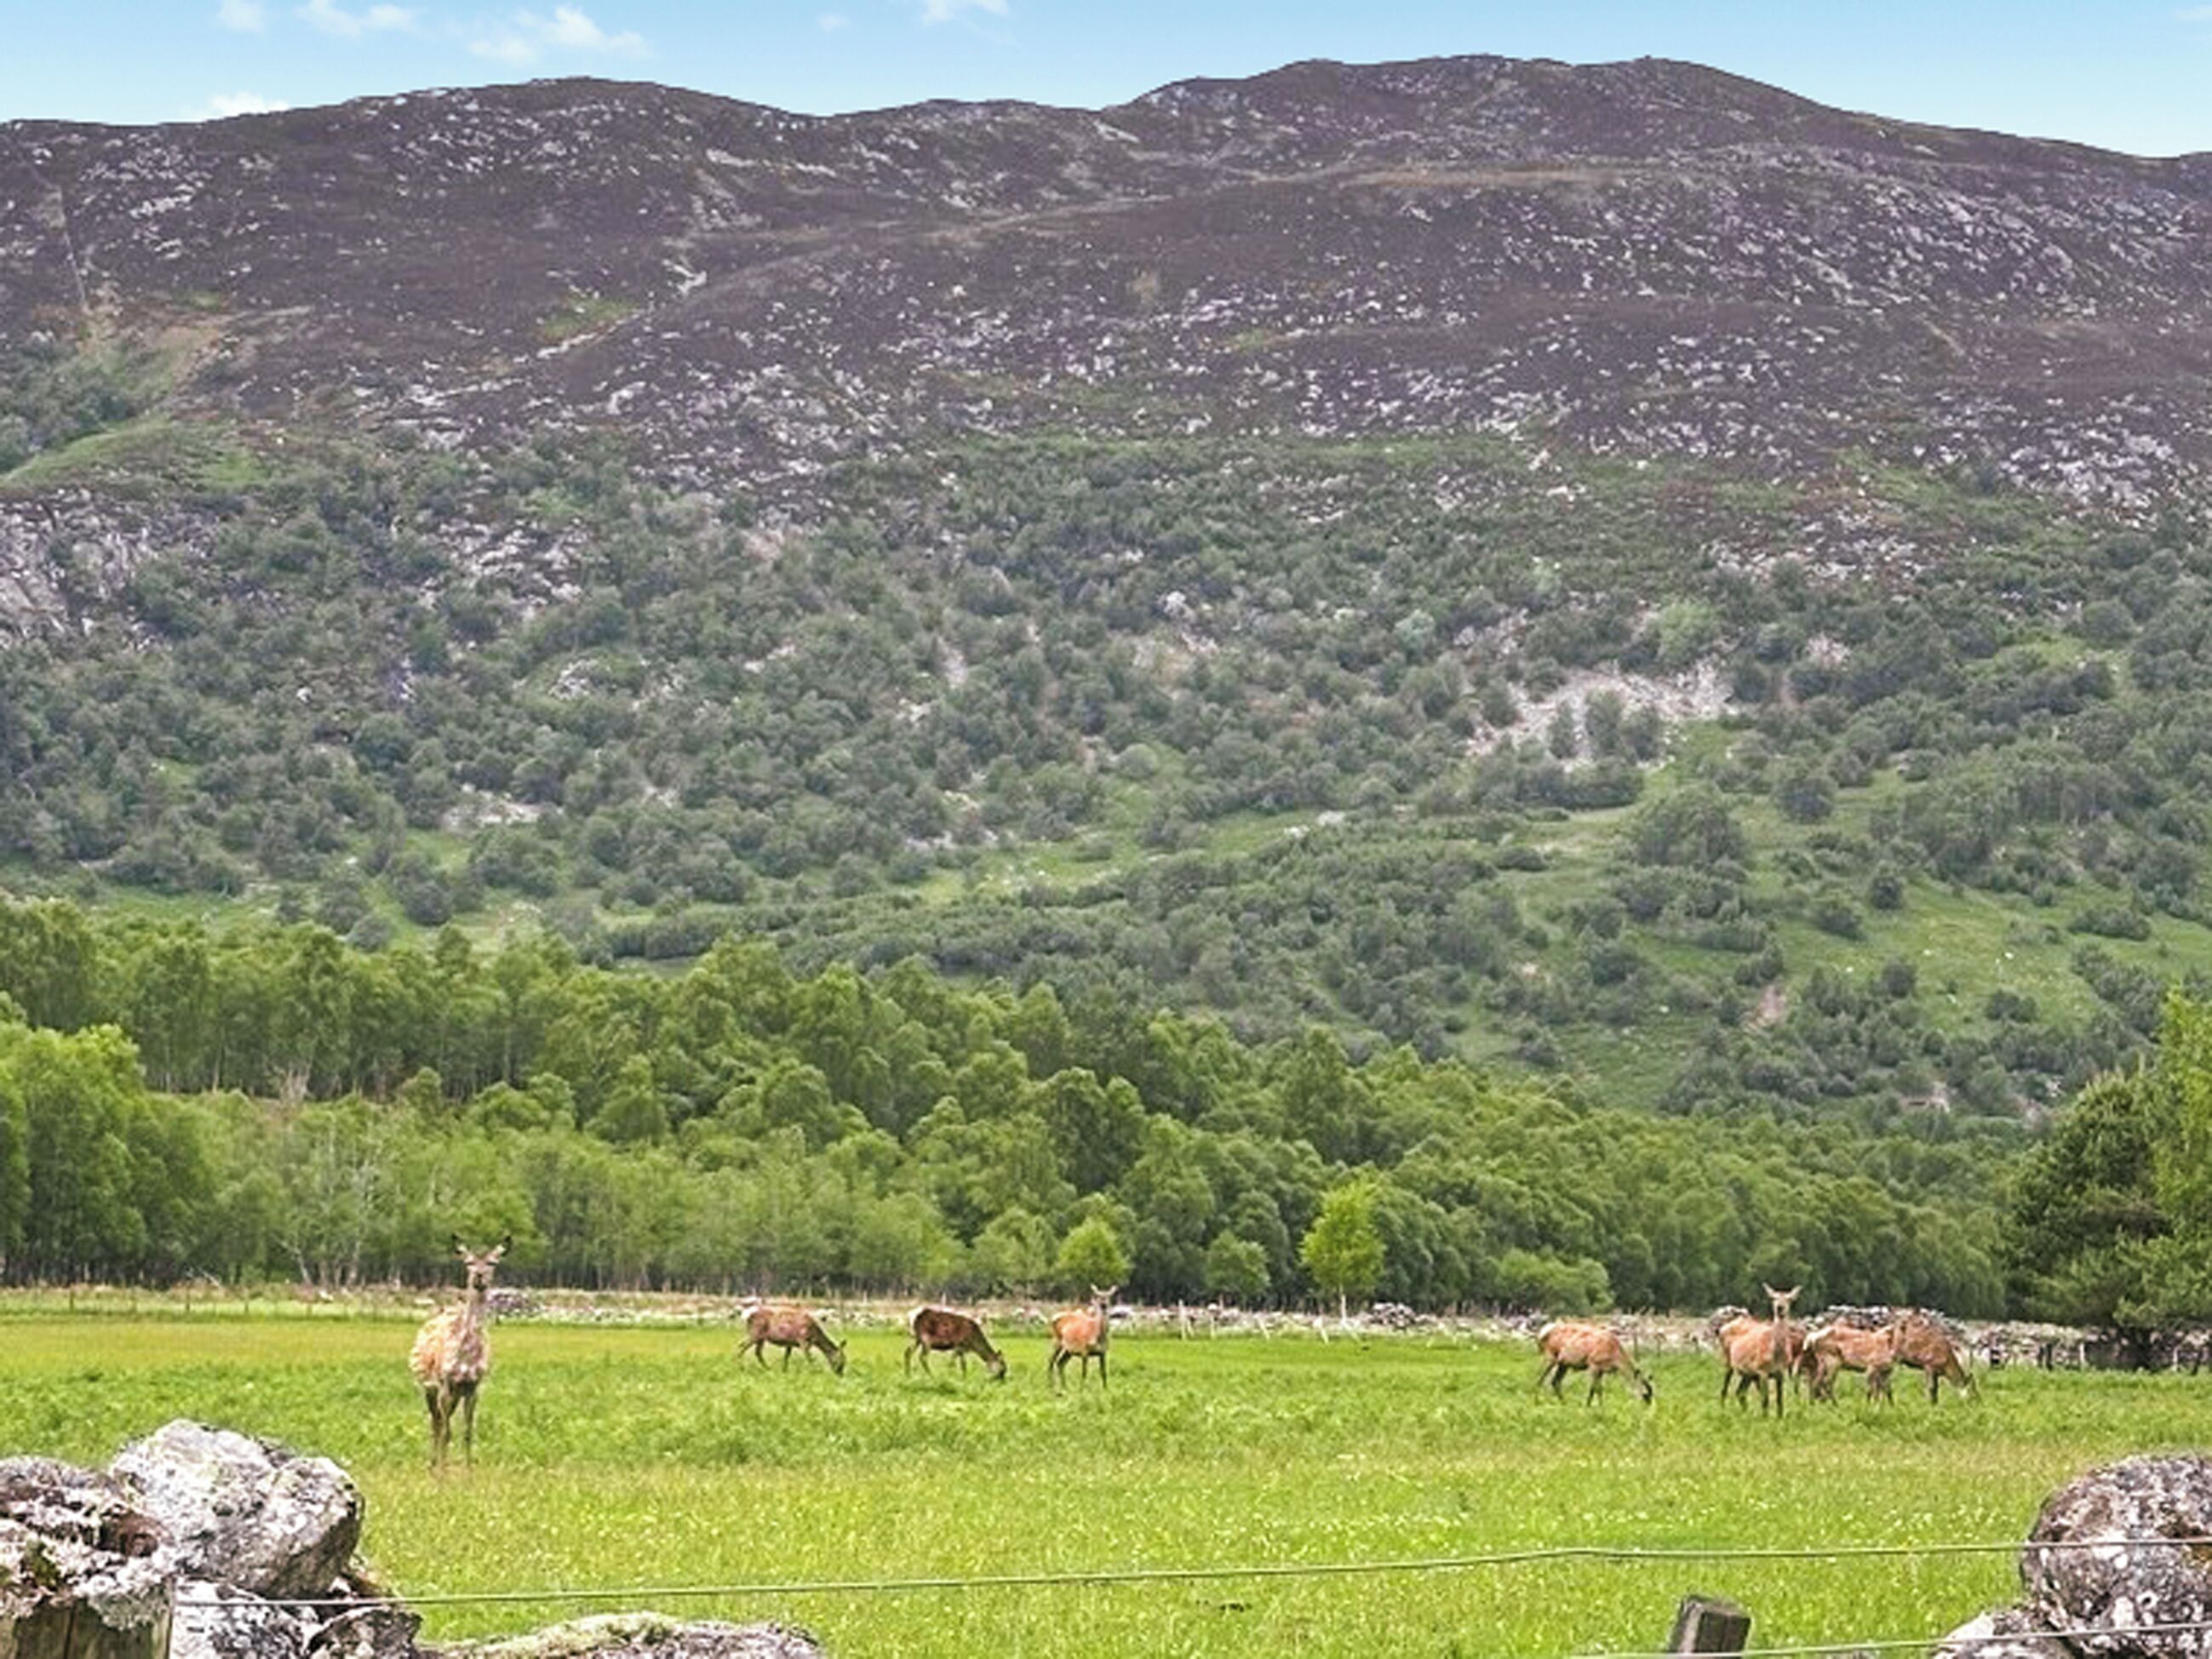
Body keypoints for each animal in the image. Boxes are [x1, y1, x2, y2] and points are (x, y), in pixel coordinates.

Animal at [408, 1235, 509, 1468]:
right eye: (468, 1262)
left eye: (493, 1262)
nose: (479, 1277)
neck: (466, 1357)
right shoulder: (445, 1381)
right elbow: (446, 1431)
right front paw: (443, 1470)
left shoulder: (473, 1386)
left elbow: (468, 1431)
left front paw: (468, 1468)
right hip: (428, 1386)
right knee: (436, 1422)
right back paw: (433, 1463)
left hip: (454, 1393)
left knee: (441, 1421)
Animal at [1533, 1320, 1655, 1405]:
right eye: (1646, 1394)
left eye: (1651, 1395)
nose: (1647, 1407)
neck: (1614, 1355)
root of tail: (1541, 1334)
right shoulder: (1593, 1364)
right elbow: (1593, 1389)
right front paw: (1588, 1406)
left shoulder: (1601, 1370)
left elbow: (1600, 1389)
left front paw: (1601, 1407)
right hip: (1550, 1356)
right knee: (1540, 1379)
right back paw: (1536, 1401)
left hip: (1564, 1363)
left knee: (1555, 1381)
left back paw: (1564, 1403)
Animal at [1719, 1284, 1801, 1416]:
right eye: (1773, 1298)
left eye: (1789, 1299)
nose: (1780, 1308)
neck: (1775, 1355)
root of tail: (1722, 1328)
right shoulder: (1762, 1371)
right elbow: (1765, 1401)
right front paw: (1765, 1419)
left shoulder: (1780, 1372)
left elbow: (1780, 1400)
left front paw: (1779, 1418)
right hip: (1728, 1360)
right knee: (1725, 1389)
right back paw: (1722, 1411)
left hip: (1747, 1373)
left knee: (1740, 1392)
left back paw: (1745, 1414)